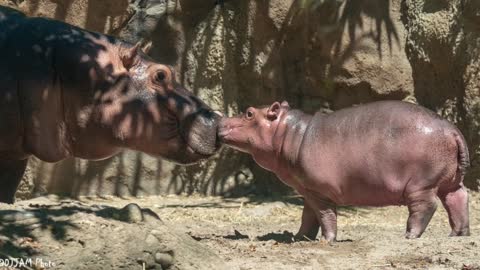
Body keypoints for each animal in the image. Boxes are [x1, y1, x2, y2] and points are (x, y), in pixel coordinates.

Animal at [219, 100, 470, 242]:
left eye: (249, 113)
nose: (219, 120)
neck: (290, 134)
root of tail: (452, 129)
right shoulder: (308, 190)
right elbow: (307, 216)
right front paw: (299, 238)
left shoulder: (321, 191)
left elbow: (325, 215)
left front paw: (327, 240)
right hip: (450, 179)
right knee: (458, 197)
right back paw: (458, 233)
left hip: (421, 183)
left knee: (425, 206)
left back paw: (410, 235)